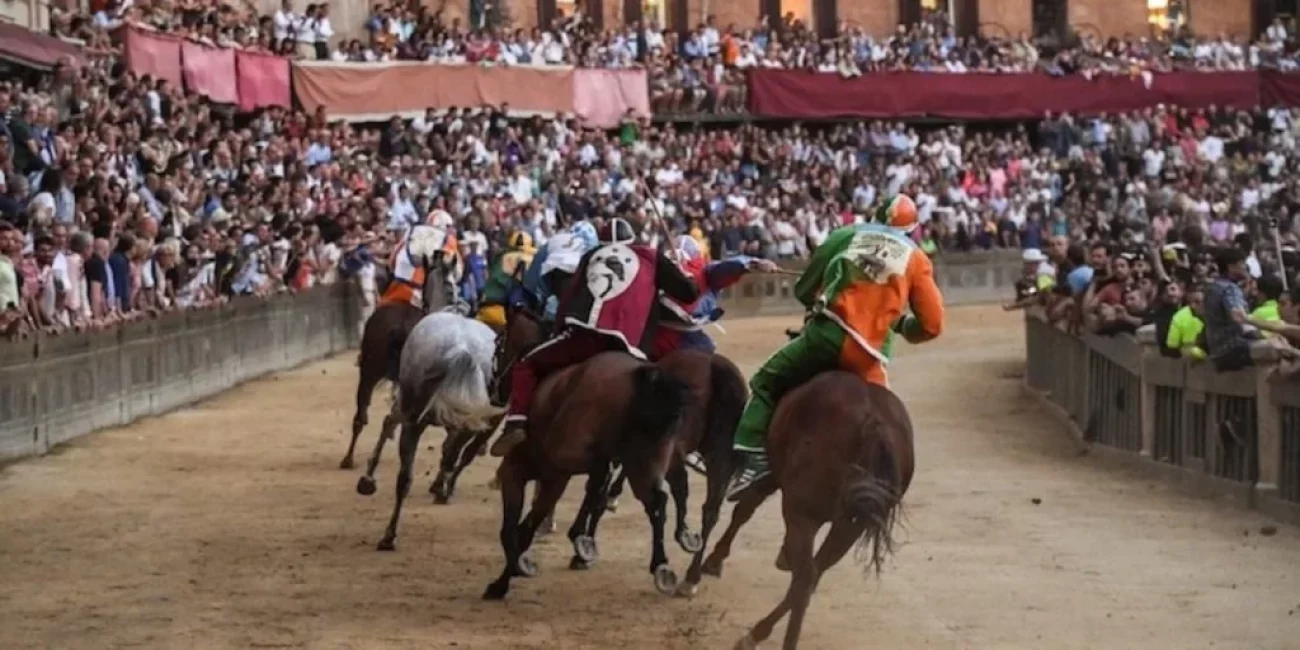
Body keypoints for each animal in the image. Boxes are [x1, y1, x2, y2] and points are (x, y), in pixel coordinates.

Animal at [356, 308, 501, 548]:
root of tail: (462, 348)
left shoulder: (408, 409)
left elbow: (388, 424)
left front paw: (367, 479)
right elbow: (449, 451)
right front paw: (440, 486)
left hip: (414, 416)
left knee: (405, 476)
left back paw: (389, 533)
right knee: (451, 456)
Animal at [483, 348, 696, 600]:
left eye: (500, 348)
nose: (493, 388)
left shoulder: (518, 471)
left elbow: (512, 531)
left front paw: (503, 581)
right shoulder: (552, 481)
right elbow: (524, 530)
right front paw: (511, 574)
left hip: (574, 456)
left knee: (606, 476)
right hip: (644, 462)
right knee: (657, 500)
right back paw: (660, 564)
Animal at [702, 371, 915, 650]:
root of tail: (874, 425)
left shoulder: (774, 477)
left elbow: (744, 509)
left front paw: (713, 560)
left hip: (803, 513)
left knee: (805, 578)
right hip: (850, 525)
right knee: (812, 576)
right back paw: (756, 632)